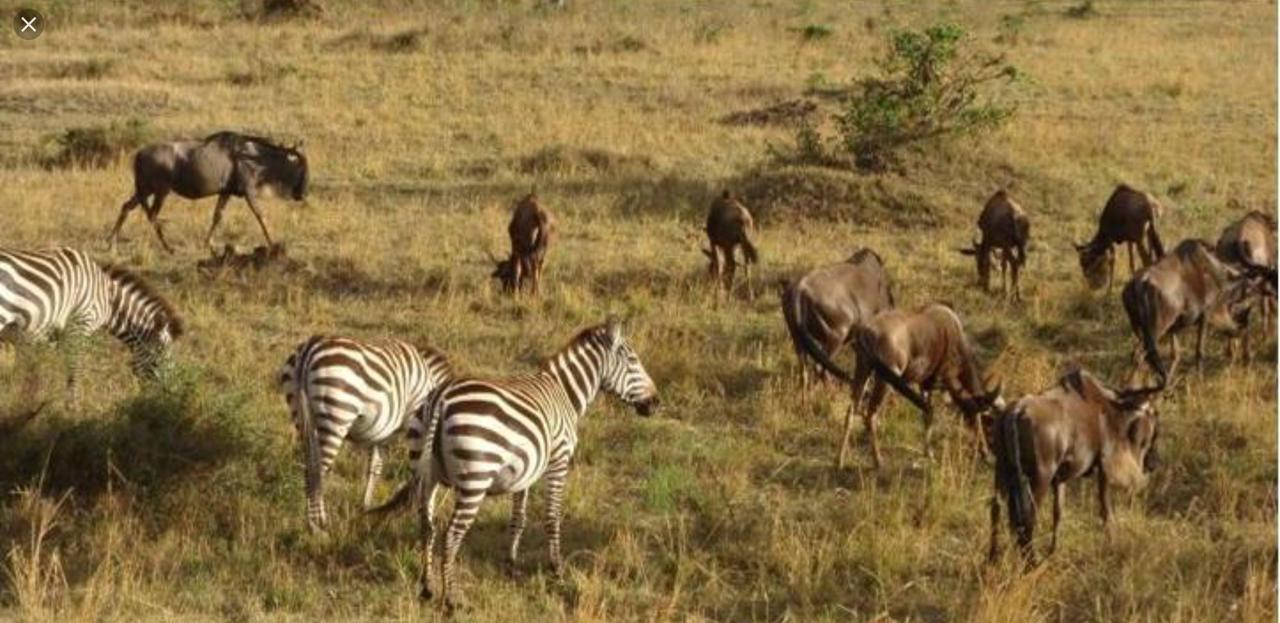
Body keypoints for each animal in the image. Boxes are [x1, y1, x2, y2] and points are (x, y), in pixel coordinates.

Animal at [0, 246, 185, 388]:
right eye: (162, 355)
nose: (169, 389)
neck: (109, 298)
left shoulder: (43, 335)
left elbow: (33, 368)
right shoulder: (81, 324)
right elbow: (76, 367)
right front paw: (71, 405)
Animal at [280, 335, 455, 534]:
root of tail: (311, 347)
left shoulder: (383, 433)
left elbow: (375, 467)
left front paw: (366, 506)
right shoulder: (414, 428)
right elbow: (420, 472)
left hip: (301, 418)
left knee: (310, 467)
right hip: (336, 415)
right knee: (315, 472)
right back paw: (317, 526)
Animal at [373, 319, 660, 611]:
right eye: (633, 360)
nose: (656, 402)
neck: (565, 393)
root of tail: (441, 398)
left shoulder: (526, 471)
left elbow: (518, 519)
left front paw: (510, 567)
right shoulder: (559, 461)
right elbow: (552, 517)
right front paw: (557, 570)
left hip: (425, 471)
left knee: (426, 527)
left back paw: (427, 588)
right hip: (475, 478)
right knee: (451, 535)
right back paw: (451, 599)